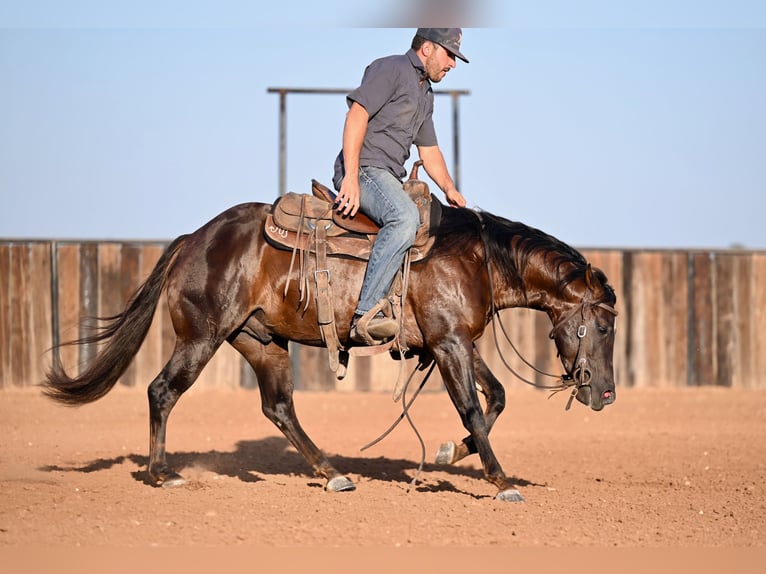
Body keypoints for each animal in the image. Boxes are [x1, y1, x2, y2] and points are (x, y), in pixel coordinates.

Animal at [42, 190, 616, 504]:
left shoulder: (454, 342)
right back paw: (163, 475)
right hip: (201, 337)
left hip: (261, 342)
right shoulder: (450, 343)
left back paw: (333, 473)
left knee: (278, 407)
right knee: (162, 391)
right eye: (607, 327)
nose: (606, 395)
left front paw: (451, 452)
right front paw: (500, 482)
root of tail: (193, 239)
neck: (476, 257)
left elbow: (496, 398)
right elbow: (474, 409)